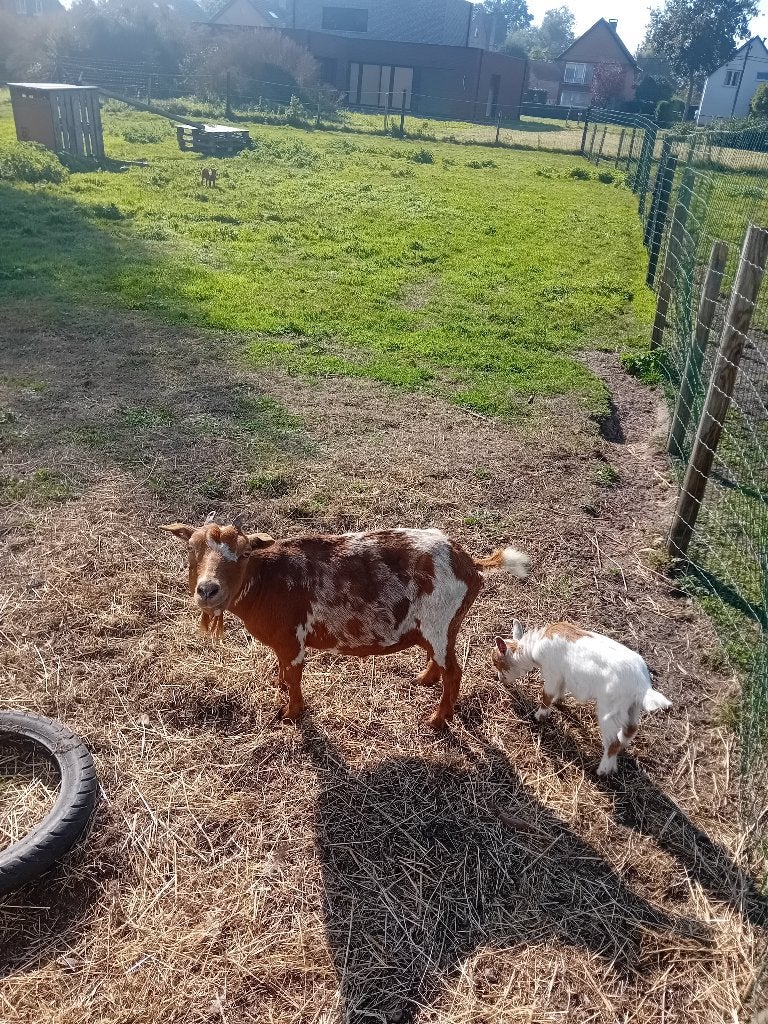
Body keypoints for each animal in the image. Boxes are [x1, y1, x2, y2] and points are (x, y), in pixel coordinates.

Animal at [161, 516, 529, 728]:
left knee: (454, 671)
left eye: (243, 553)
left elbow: (294, 676)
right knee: (442, 661)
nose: (207, 590)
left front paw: (291, 714)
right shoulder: (282, 645)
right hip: (438, 627)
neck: (267, 581)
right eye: (191, 549)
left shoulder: (292, 640)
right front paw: (278, 687)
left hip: (440, 621)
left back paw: (437, 720)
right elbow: (282, 672)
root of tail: (469, 562)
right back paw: (423, 680)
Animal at [492, 620, 672, 775]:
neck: (533, 648)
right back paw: (622, 748)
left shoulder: (552, 674)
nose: (500, 679)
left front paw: (539, 716)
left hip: (609, 710)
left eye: (497, 663)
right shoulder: (562, 676)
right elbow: (561, 689)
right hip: (632, 707)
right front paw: (559, 702)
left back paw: (602, 770)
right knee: (631, 729)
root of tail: (642, 685)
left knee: (613, 742)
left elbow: (547, 695)